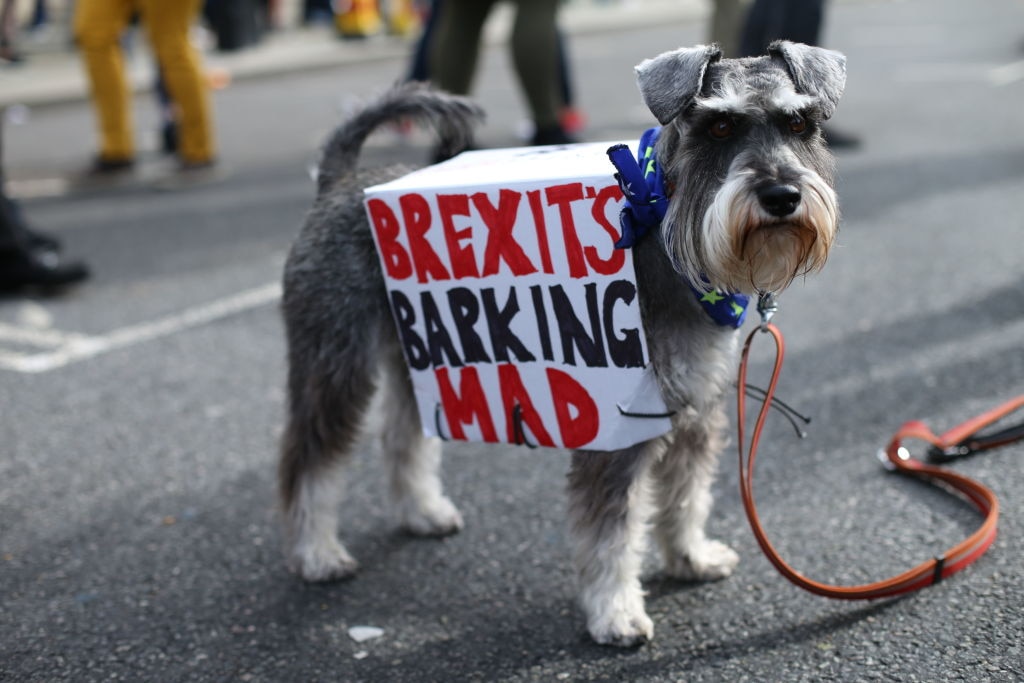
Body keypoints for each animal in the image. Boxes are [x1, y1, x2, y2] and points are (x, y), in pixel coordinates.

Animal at [276, 42, 843, 647]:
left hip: (423, 346)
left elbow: (685, 495)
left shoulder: (696, 407)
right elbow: (612, 530)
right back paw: (316, 553)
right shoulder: (620, 426)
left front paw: (690, 558)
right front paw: (615, 612)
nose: (781, 195)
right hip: (335, 358)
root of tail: (337, 181)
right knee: (310, 457)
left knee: (403, 433)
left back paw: (422, 513)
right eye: (718, 126)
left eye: (799, 123)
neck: (659, 226)